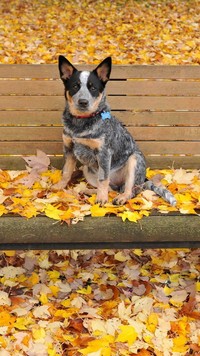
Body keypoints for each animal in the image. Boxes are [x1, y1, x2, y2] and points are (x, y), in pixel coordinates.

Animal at [53, 54, 177, 207]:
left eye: (93, 88)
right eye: (75, 86)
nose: (83, 102)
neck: (80, 123)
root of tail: (144, 180)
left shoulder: (104, 153)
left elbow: (103, 179)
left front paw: (101, 199)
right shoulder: (69, 149)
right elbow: (66, 172)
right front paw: (59, 186)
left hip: (134, 161)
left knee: (130, 190)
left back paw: (121, 197)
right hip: (87, 169)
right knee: (111, 188)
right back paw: (90, 191)